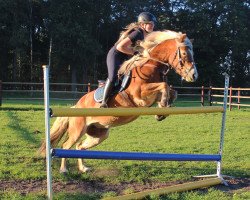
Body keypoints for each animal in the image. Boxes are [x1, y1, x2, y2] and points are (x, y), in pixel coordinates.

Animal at [40, 30, 198, 173]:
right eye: (185, 54)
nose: (194, 75)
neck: (151, 65)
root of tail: (76, 106)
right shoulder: (140, 95)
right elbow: (163, 86)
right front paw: (164, 104)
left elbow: (172, 91)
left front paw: (162, 110)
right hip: (77, 130)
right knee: (66, 146)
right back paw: (64, 169)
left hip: (99, 135)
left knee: (79, 147)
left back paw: (83, 168)